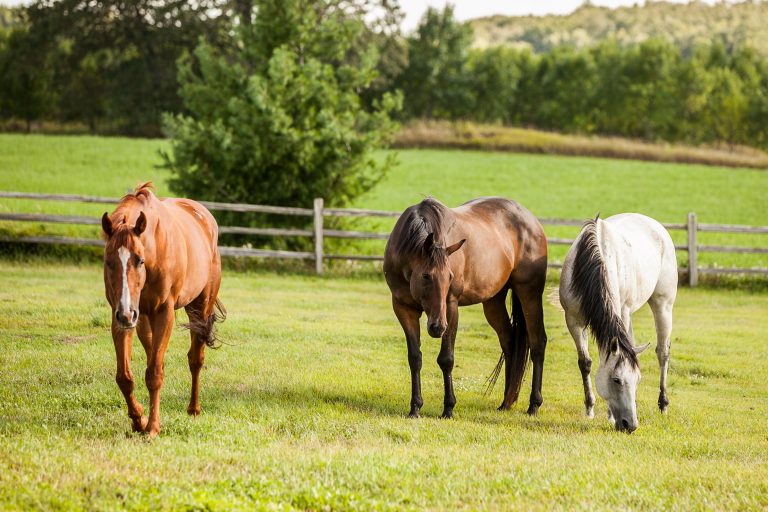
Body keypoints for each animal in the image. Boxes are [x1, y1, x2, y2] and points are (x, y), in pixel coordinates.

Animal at [100, 183, 224, 437]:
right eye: (109, 261)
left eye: (139, 260)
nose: (127, 313)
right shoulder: (122, 315)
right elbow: (125, 377)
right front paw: (139, 419)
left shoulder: (163, 313)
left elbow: (155, 374)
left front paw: (152, 427)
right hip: (142, 320)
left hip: (199, 309)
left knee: (195, 359)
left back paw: (193, 409)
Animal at [384, 197, 548, 418]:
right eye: (426, 276)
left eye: (450, 277)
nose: (437, 327)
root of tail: (532, 221)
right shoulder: (403, 309)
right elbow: (415, 357)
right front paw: (415, 407)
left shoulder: (451, 307)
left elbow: (446, 359)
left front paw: (448, 408)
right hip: (493, 302)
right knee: (509, 342)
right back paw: (506, 402)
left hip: (530, 293)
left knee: (538, 342)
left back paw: (533, 405)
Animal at [559, 213, 677, 433]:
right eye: (616, 380)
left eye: (637, 380)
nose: (630, 425)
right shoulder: (573, 320)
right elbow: (585, 362)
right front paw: (590, 408)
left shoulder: (621, 314)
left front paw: (610, 416)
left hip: (663, 305)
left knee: (663, 353)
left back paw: (663, 404)